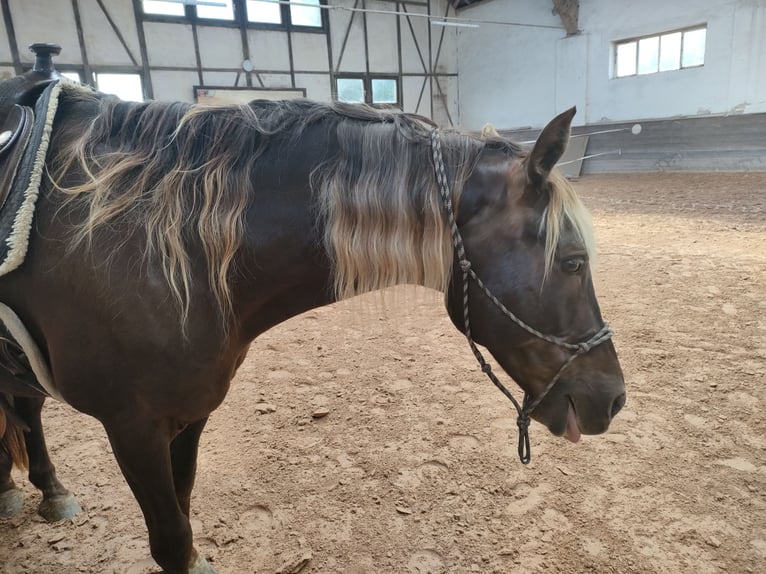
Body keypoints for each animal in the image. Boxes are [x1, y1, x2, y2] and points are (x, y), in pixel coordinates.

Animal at [0, 80, 625, 573]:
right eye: (573, 262)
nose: (613, 398)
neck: (158, 244)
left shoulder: (187, 415)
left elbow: (183, 514)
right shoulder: (132, 426)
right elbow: (172, 543)